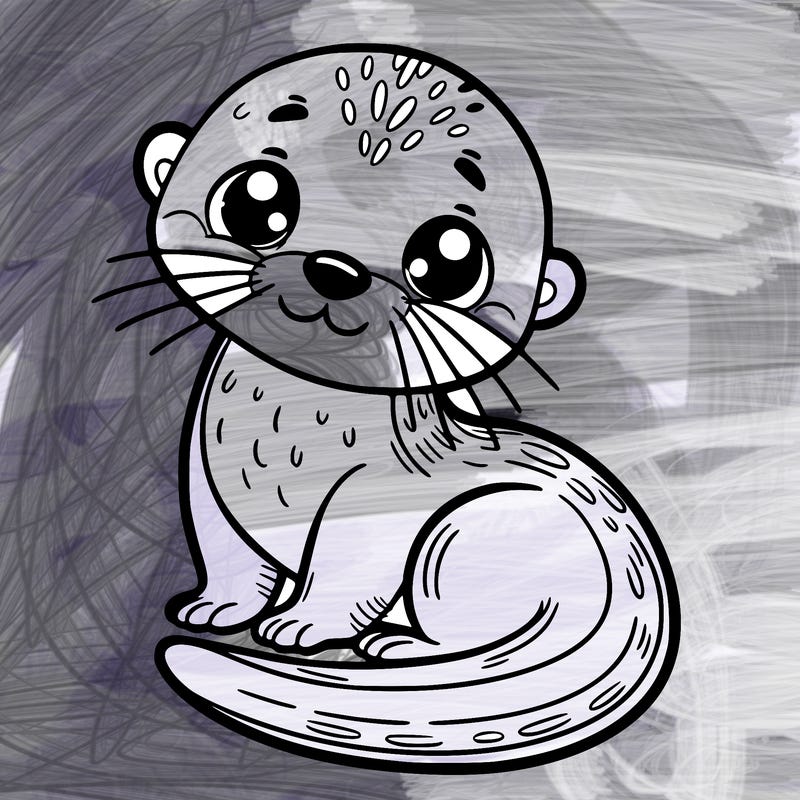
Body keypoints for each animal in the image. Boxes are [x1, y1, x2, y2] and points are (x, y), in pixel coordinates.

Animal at [123, 44, 678, 772]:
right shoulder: (202, 474)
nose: (335, 268)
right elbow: (226, 551)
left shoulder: (378, 499)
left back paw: (402, 644)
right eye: (255, 200)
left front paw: (300, 624)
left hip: (464, 537)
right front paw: (218, 607)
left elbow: (347, 565)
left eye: (449, 261)